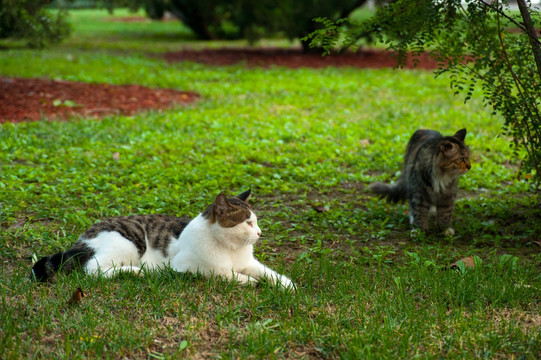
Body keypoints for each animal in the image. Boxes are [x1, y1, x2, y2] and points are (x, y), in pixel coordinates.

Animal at [31, 190, 296, 292]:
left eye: (256, 222)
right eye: (248, 223)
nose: (259, 233)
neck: (230, 249)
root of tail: (83, 238)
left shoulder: (248, 262)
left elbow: (267, 272)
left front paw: (286, 284)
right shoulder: (186, 266)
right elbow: (222, 273)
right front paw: (248, 281)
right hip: (130, 241)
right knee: (93, 270)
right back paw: (135, 272)